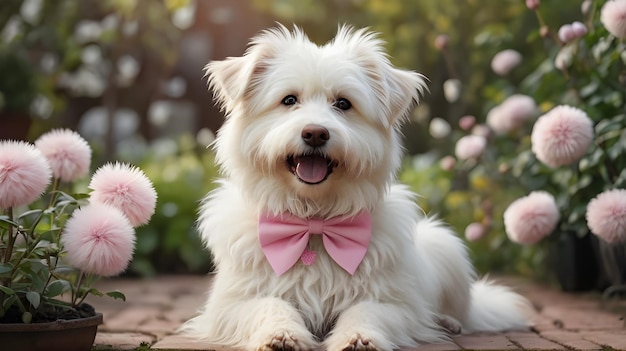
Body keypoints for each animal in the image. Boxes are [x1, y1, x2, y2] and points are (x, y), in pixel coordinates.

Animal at [182, 25, 532, 351]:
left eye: (343, 103)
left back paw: (447, 321)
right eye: (289, 100)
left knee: (459, 312)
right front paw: (281, 335)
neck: (314, 222)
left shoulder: (393, 302)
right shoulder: (232, 304)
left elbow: (365, 311)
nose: (315, 133)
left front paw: (358, 337)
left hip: (447, 247)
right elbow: (270, 305)